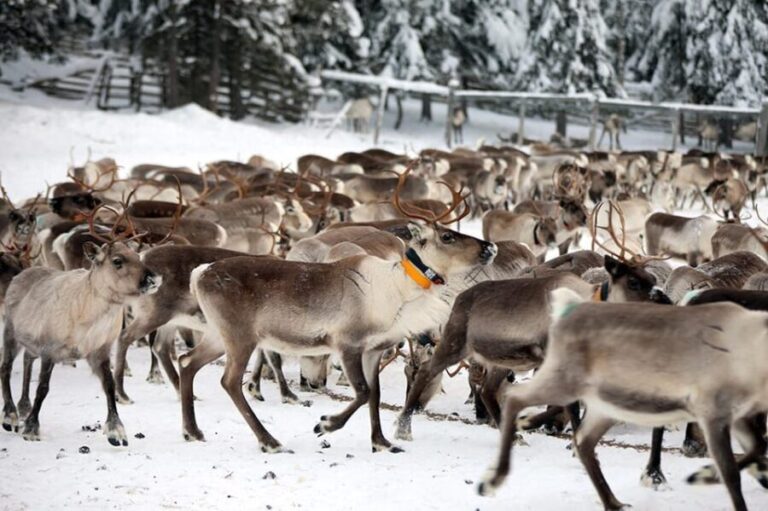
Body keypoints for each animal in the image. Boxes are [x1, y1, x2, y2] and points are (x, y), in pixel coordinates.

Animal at [178, 164, 496, 453]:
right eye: (447, 237)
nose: (490, 248)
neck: (397, 291)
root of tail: (199, 274)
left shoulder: (373, 350)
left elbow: (375, 394)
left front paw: (381, 442)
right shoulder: (348, 343)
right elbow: (363, 392)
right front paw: (325, 424)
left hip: (217, 334)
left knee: (187, 362)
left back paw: (192, 431)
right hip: (240, 336)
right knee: (230, 381)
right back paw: (270, 441)